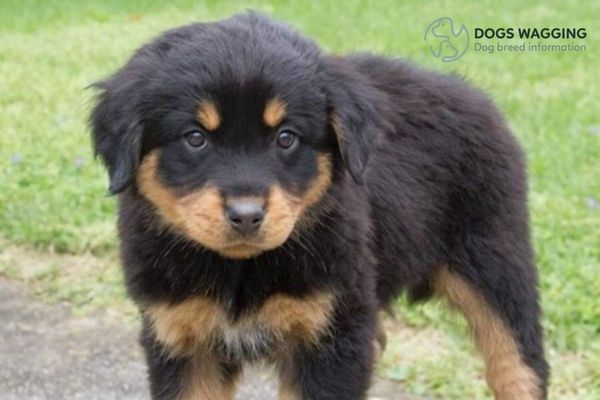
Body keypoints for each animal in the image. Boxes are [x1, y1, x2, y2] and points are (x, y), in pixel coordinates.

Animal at [88, 11, 548, 400]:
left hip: (495, 259)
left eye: (286, 137)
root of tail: (473, 92)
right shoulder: (179, 339)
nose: (246, 216)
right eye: (195, 138)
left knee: (519, 364)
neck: (240, 270)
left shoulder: (331, 341)